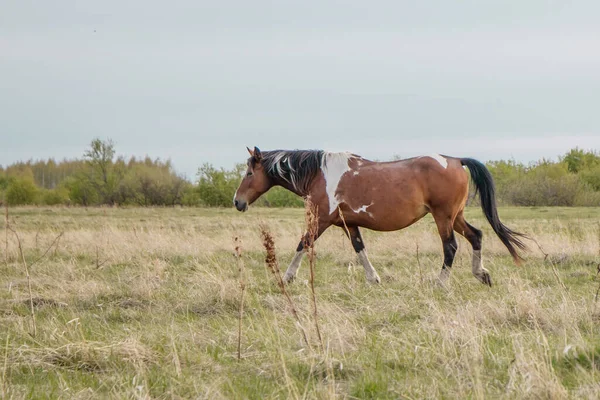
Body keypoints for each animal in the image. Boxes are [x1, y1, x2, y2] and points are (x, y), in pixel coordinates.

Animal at [232, 145, 528, 286]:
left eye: (249, 173)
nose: (237, 201)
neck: (319, 174)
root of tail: (455, 160)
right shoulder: (348, 224)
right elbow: (359, 248)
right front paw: (373, 279)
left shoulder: (322, 221)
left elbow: (303, 244)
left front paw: (287, 277)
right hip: (455, 216)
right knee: (476, 236)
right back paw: (481, 274)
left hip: (443, 217)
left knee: (451, 247)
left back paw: (440, 283)